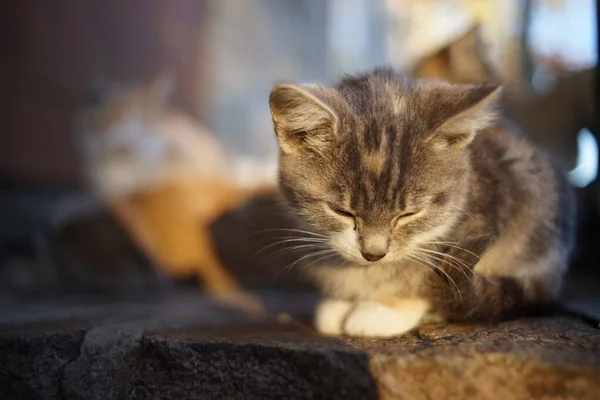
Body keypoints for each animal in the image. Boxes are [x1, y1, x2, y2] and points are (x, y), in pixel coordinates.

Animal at [270, 69, 576, 338]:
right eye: (342, 212)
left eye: (408, 214)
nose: (373, 254)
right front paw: (341, 301)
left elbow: (423, 273)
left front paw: (385, 309)